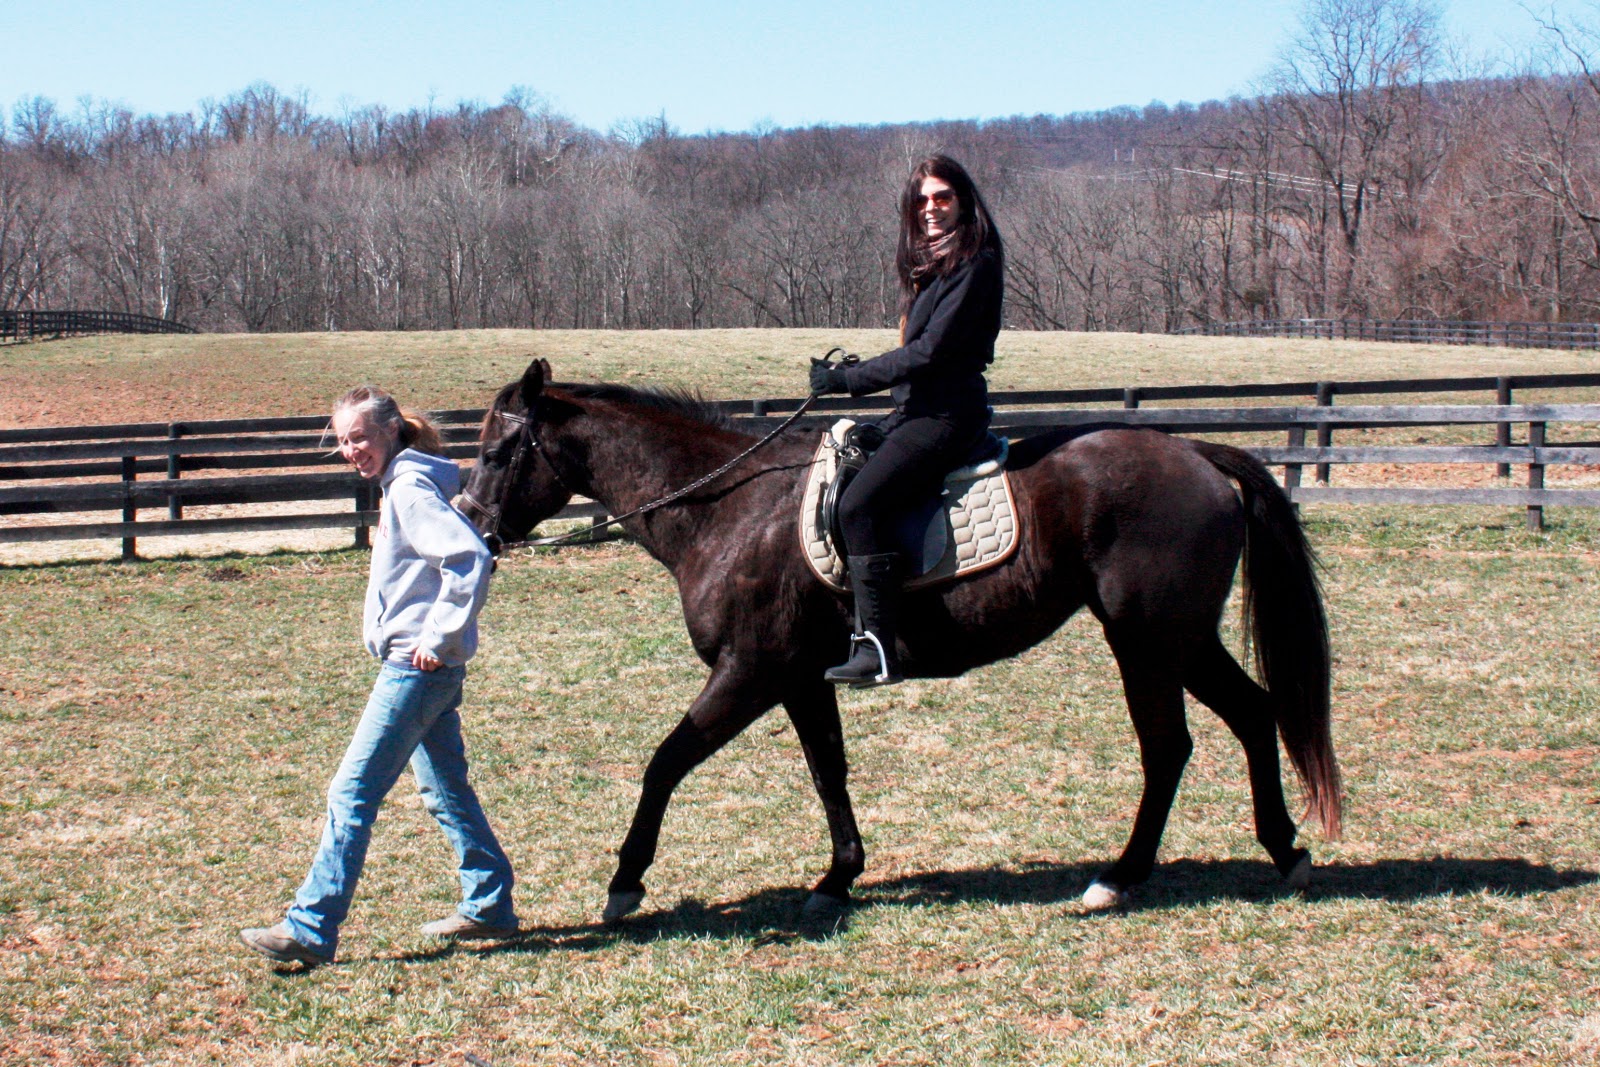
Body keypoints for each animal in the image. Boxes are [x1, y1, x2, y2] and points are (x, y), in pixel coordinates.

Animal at [459, 358, 1342, 920]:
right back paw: (1283, 850)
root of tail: (1196, 451)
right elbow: (828, 772)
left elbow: (665, 761)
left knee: (1168, 747)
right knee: (1253, 713)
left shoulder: (749, 672)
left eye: (500, 449)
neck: (728, 507)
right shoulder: (800, 678)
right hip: (1180, 637)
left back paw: (1118, 879)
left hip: (1146, 640)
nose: (472, 524)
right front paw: (837, 877)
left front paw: (625, 881)